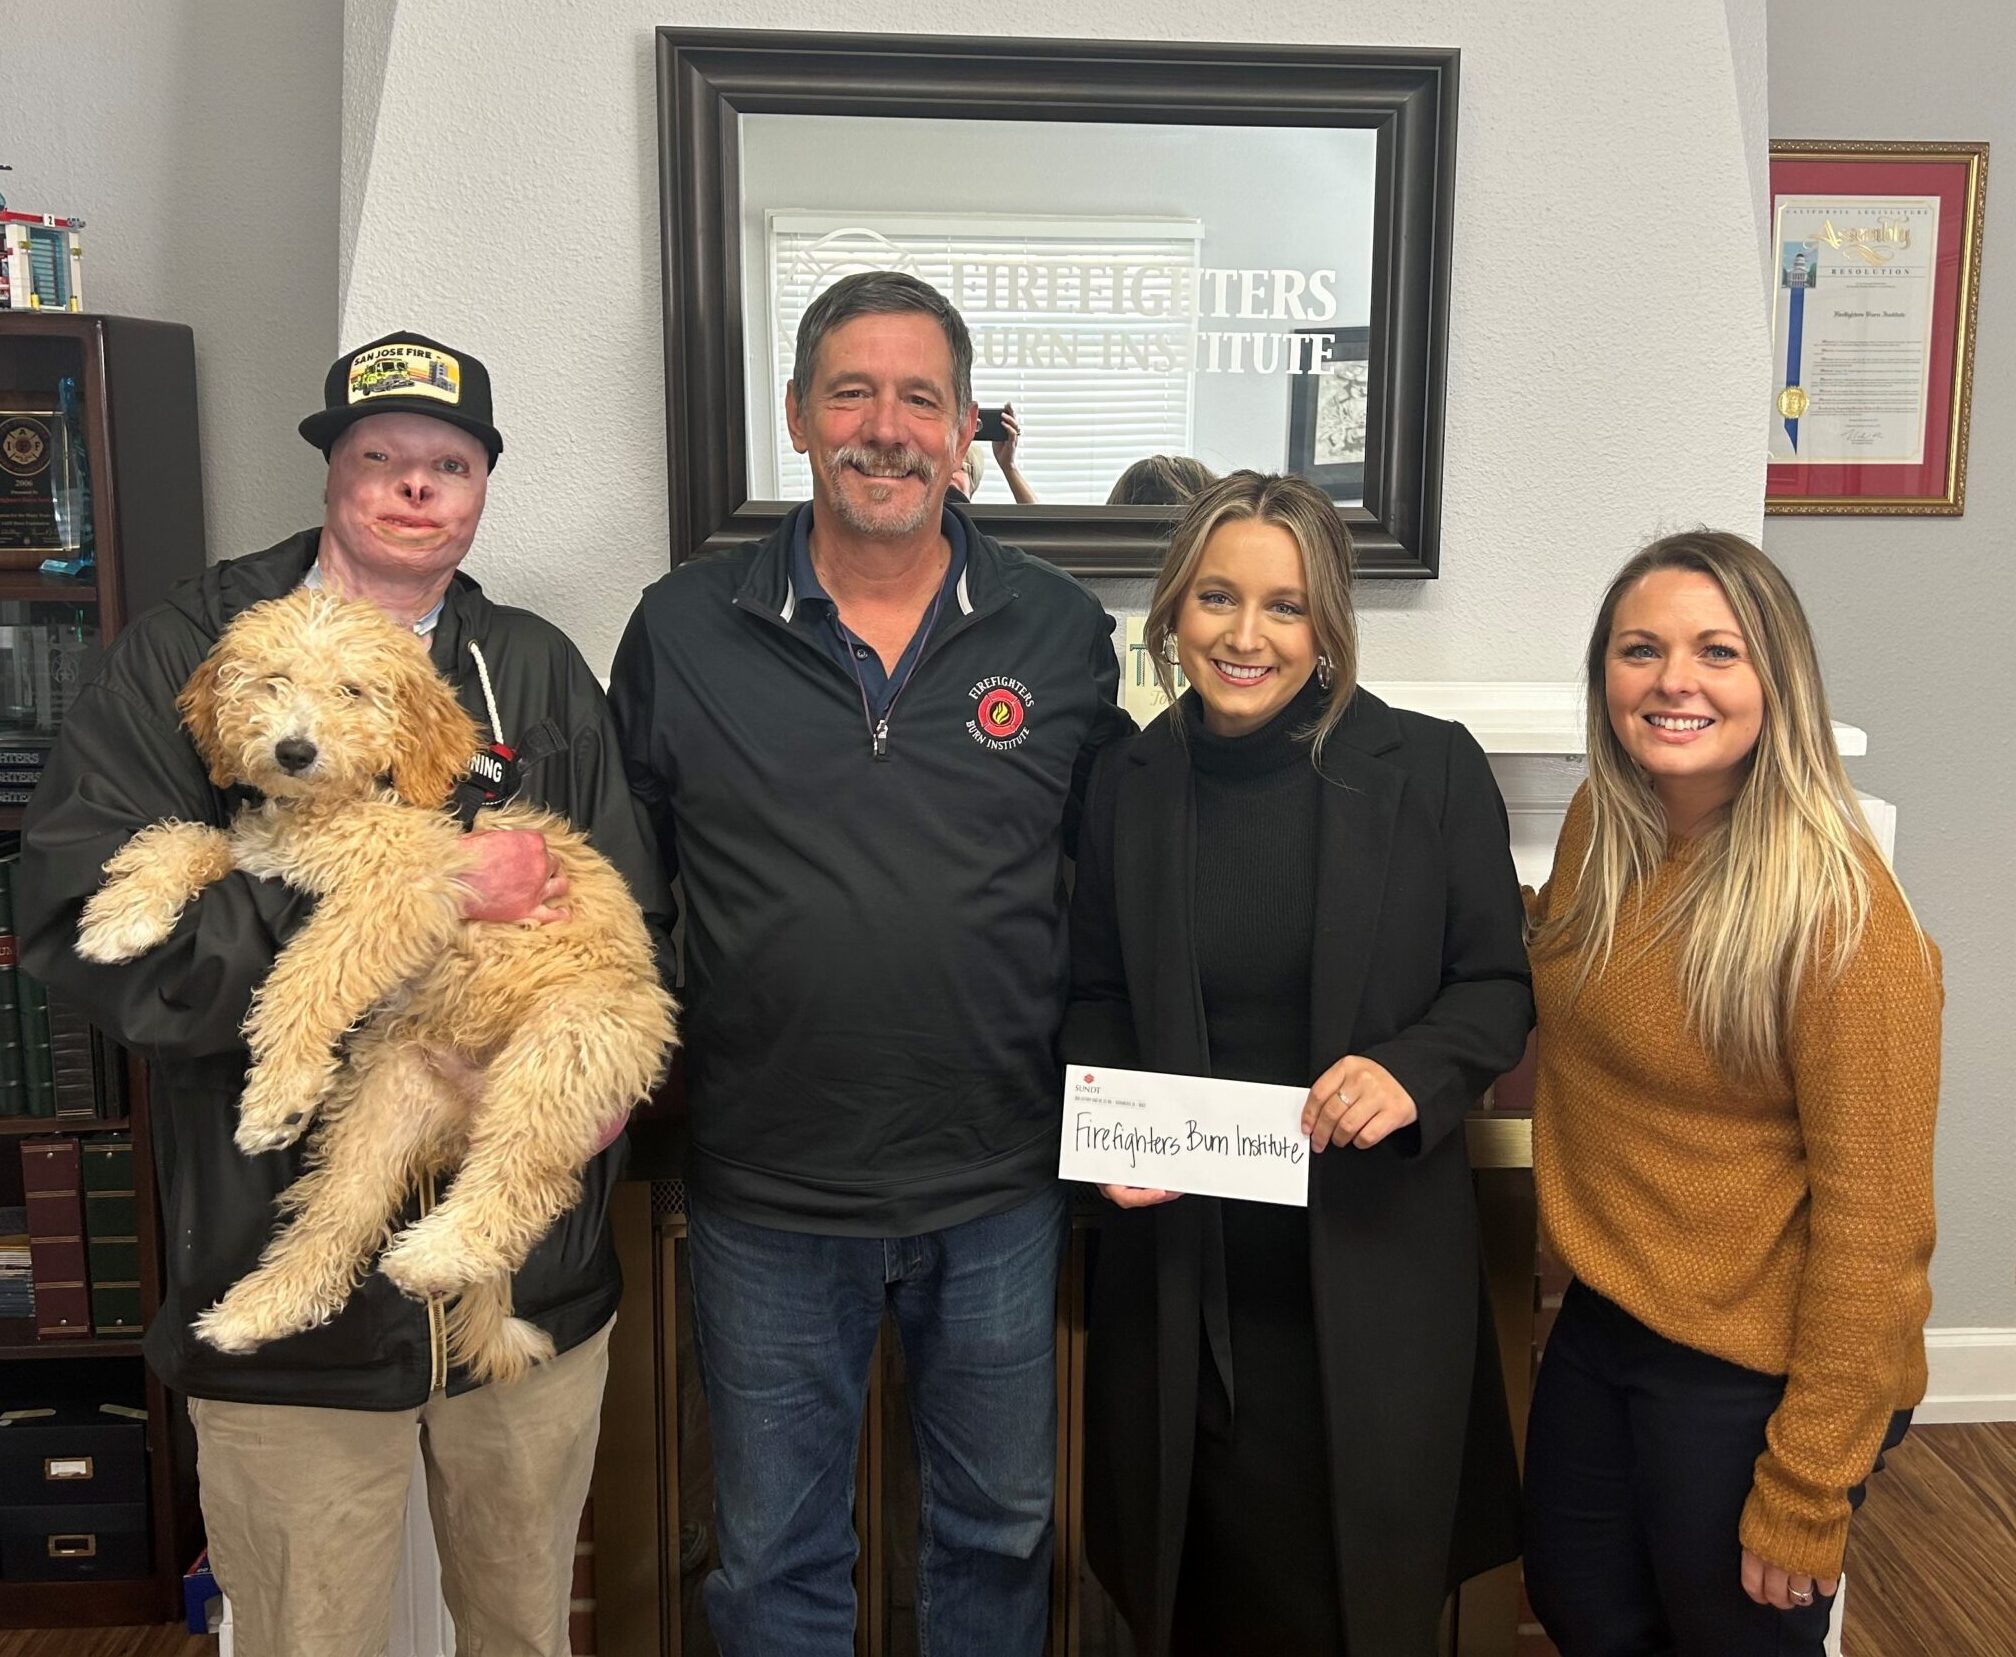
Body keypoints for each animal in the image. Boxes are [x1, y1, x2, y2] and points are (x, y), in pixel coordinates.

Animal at [76, 588, 677, 1378]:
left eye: (352, 691)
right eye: (272, 680)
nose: (294, 752)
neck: (350, 798)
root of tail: (469, 1109)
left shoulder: (401, 889)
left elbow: (306, 970)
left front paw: (277, 1091)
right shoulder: (262, 850)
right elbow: (184, 838)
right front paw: (123, 914)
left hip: (568, 1043)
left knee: (523, 1175)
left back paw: (437, 1253)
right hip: (384, 1101)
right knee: (339, 1215)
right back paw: (259, 1310)